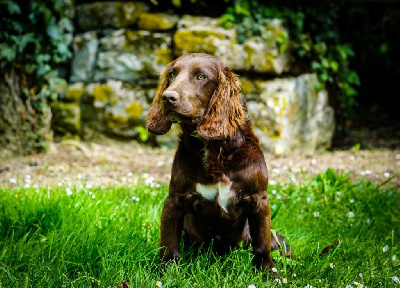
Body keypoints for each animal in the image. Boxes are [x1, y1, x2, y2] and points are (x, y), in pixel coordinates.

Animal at [147, 52, 288, 270]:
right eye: (172, 74)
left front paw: (268, 272)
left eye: (201, 77)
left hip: (278, 240)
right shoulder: (174, 199)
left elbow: (261, 246)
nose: (167, 97)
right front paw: (166, 271)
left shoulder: (259, 200)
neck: (214, 150)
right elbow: (169, 244)